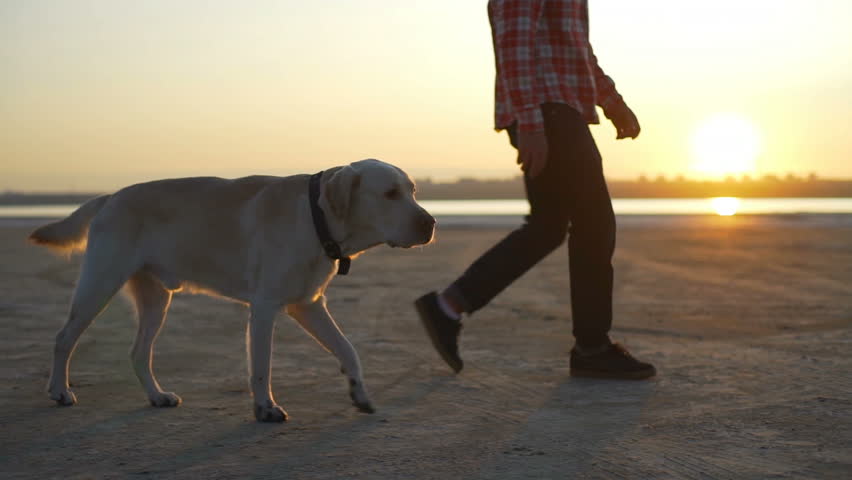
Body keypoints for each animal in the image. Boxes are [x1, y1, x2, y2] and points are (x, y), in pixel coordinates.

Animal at [30, 159, 436, 422]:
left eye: (413, 191)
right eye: (390, 194)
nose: (430, 223)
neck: (315, 218)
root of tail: (110, 196)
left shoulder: (308, 305)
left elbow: (348, 349)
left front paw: (360, 393)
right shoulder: (265, 307)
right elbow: (261, 366)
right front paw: (265, 408)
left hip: (156, 299)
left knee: (138, 352)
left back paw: (157, 396)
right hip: (100, 282)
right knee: (64, 338)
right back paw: (59, 391)